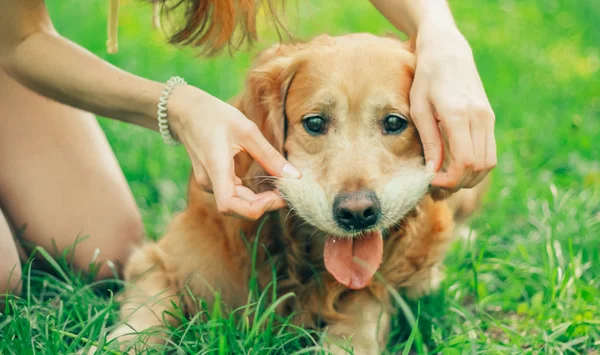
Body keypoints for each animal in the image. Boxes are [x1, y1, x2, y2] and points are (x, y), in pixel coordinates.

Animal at [98, 33, 488, 355]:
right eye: (314, 122)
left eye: (394, 122)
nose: (357, 213)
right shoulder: (160, 262)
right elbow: (143, 320)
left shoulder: (370, 299)